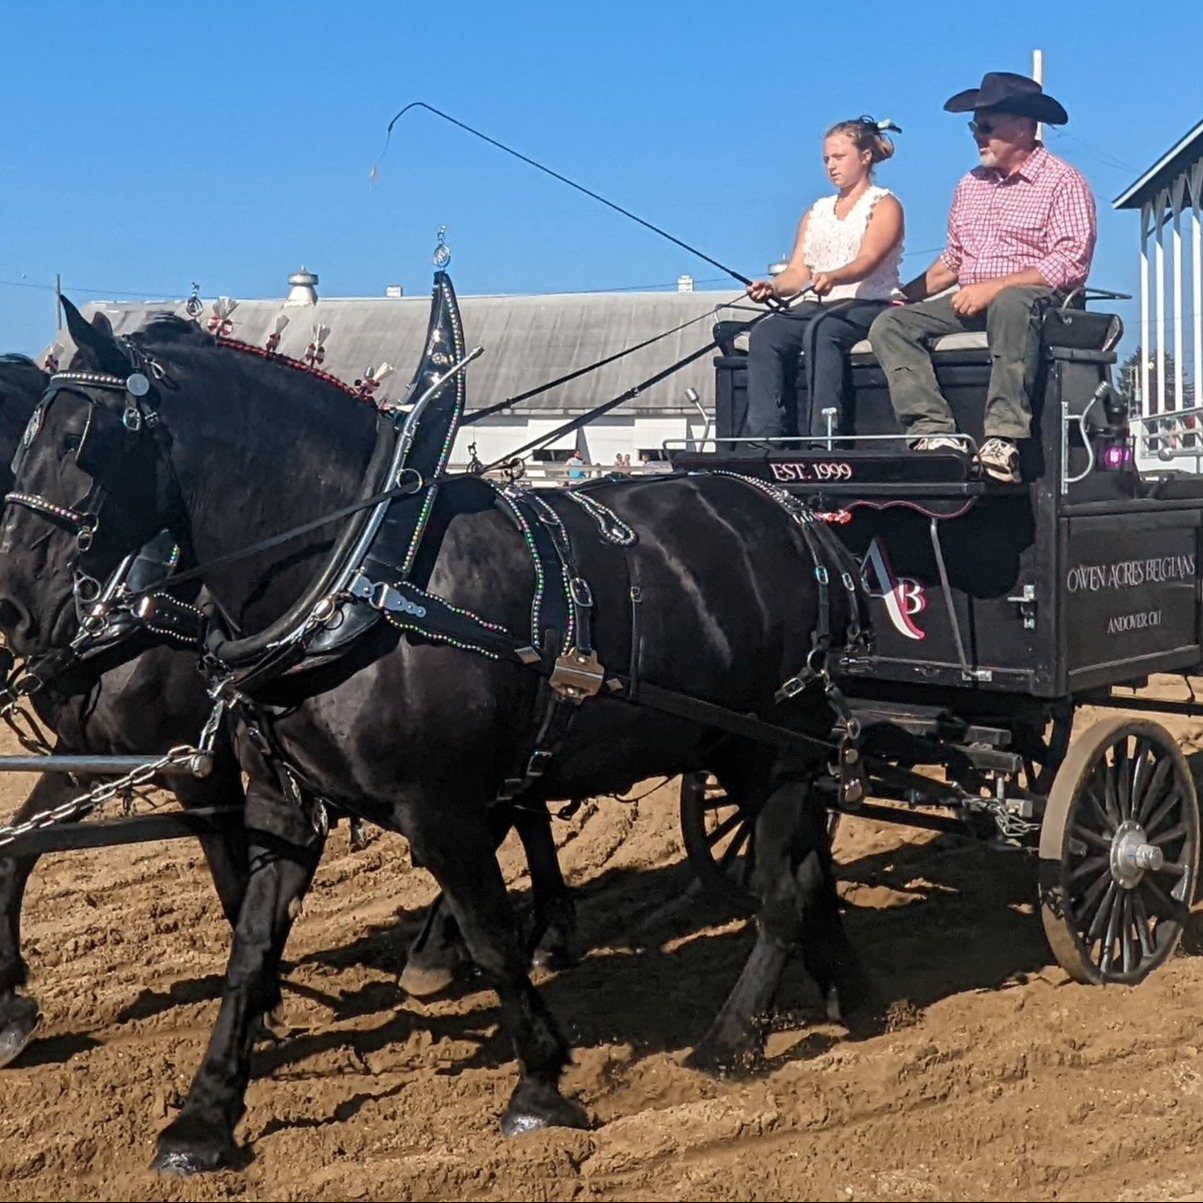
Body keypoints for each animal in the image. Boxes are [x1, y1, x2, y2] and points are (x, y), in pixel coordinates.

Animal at [0, 293, 866, 1174]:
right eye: (26, 440)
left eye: (79, 440)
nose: (15, 604)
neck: (359, 575)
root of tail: (802, 519)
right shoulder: (277, 803)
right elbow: (244, 943)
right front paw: (203, 1116)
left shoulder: (431, 805)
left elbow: (490, 936)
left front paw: (539, 1084)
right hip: (744, 752)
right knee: (804, 870)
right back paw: (845, 995)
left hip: (776, 746)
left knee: (780, 892)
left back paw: (729, 1041)